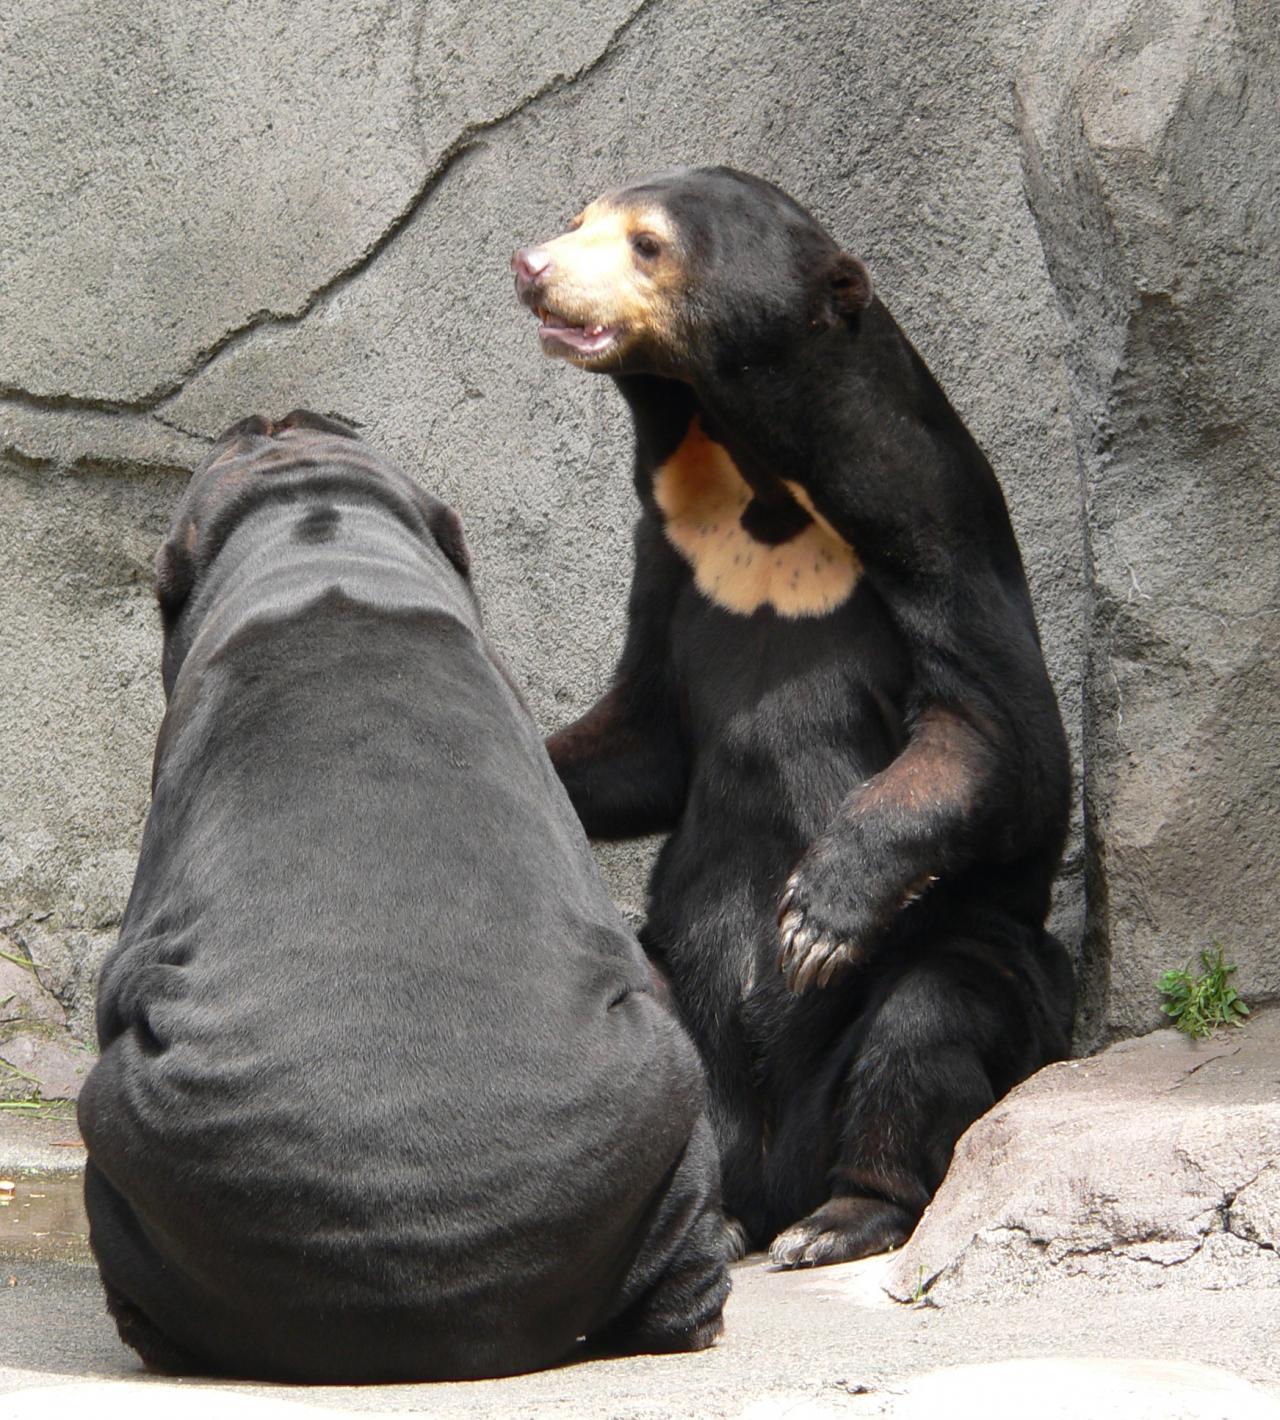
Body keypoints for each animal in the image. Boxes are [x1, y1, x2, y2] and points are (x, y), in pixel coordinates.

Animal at [514, 166, 1074, 1266]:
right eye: (576, 220)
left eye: (646, 243)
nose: (531, 267)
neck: (759, 484)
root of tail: (775, 1161)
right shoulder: (674, 560)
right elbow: (647, 735)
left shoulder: (934, 534)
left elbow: (999, 737)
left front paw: (816, 913)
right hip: (675, 1002)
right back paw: (709, 1221)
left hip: (981, 971)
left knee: (930, 1018)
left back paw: (841, 1216)